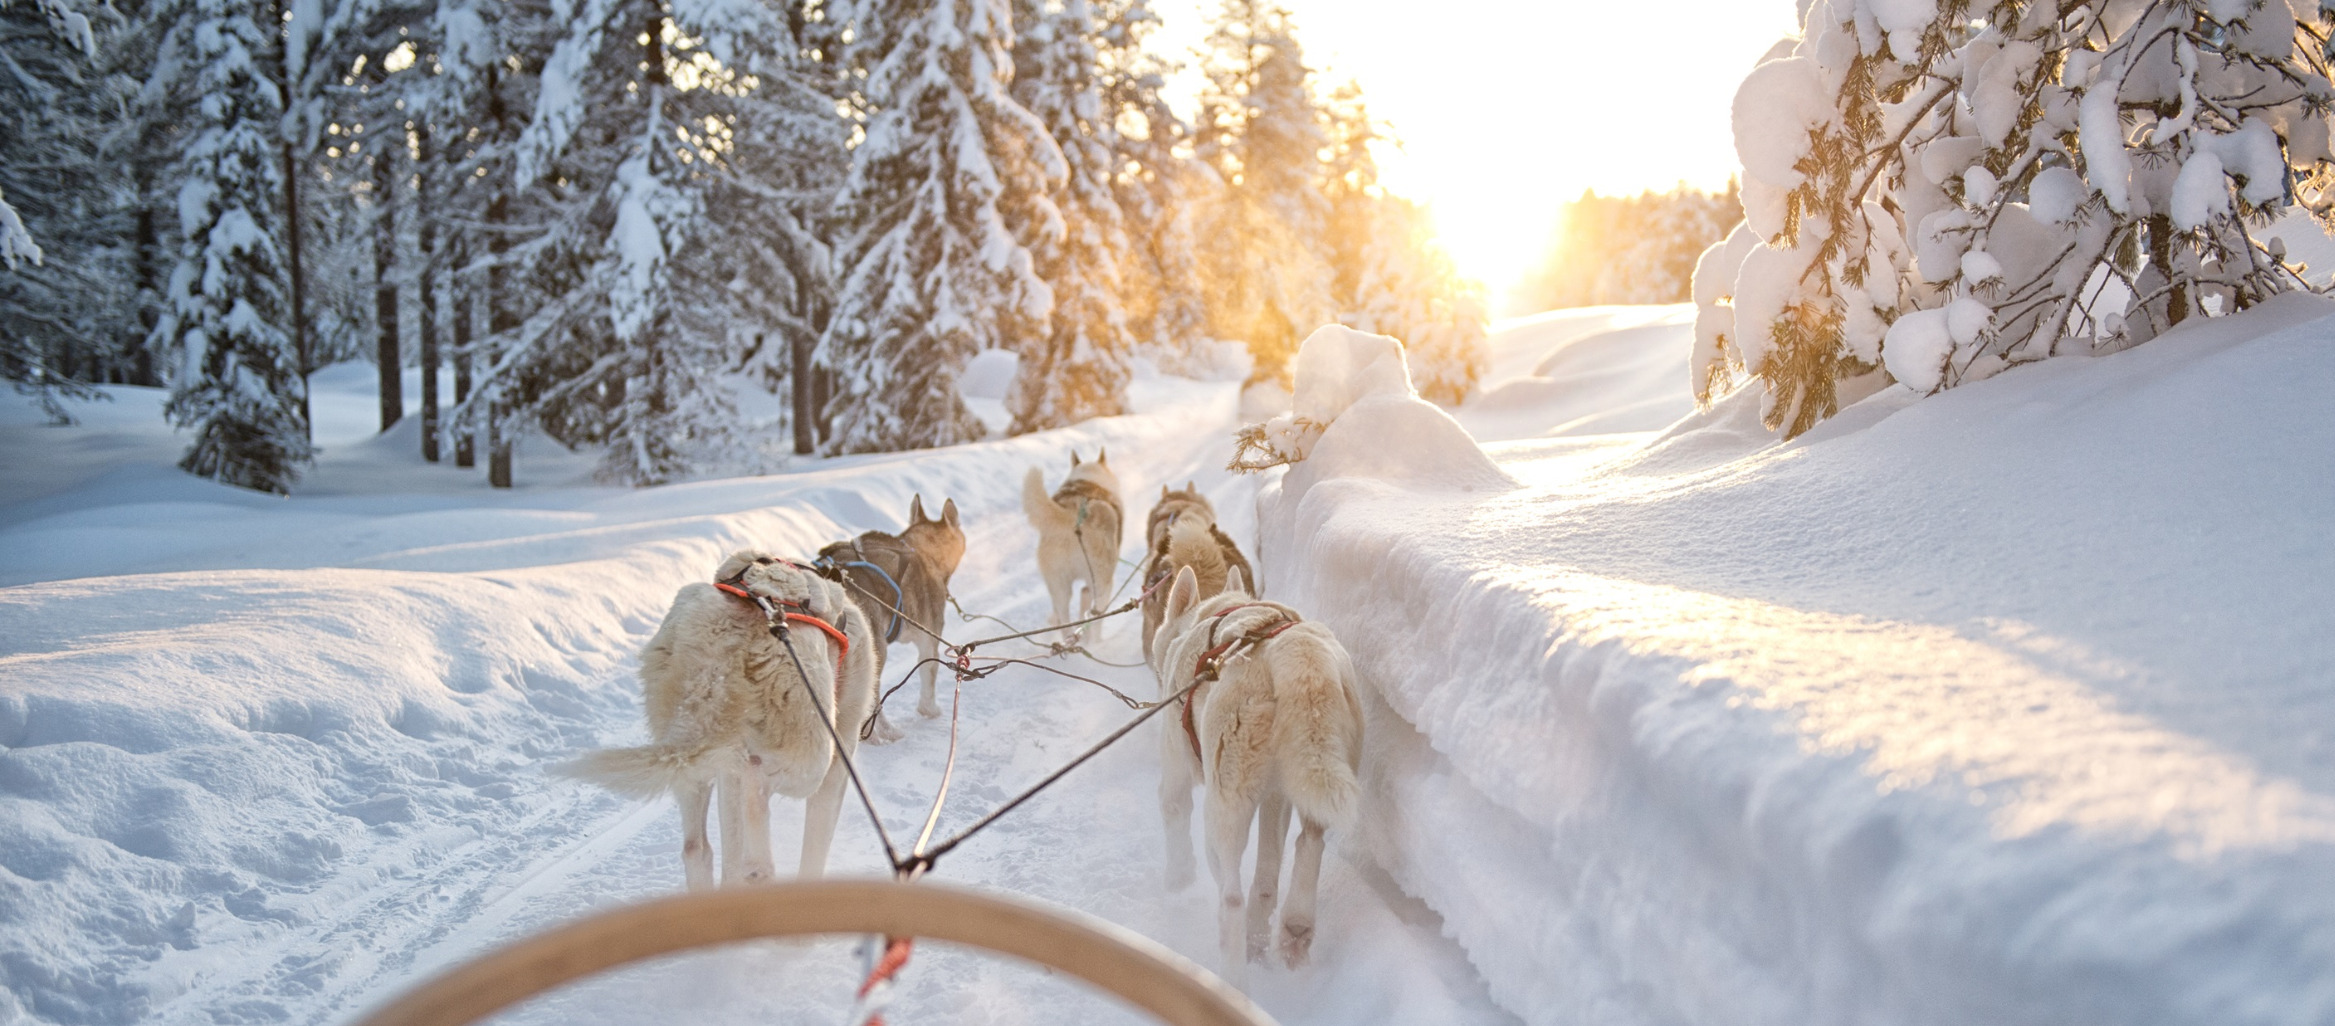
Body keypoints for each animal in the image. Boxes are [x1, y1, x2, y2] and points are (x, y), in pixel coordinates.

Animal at [574, 553, 882, 892]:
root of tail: (724, 640)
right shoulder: (839, 763)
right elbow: (813, 857)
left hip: (693, 752)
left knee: (697, 847)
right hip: (813, 750)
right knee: (757, 828)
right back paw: (757, 857)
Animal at [821, 493, 966, 733]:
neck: (922, 551)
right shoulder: (929, 637)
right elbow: (930, 671)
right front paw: (930, 710)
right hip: (876, 649)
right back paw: (887, 733)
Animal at [1153, 565, 1363, 986]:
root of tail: (1293, 652)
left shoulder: (1175, 764)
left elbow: (1174, 811)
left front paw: (1178, 881)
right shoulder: (1276, 798)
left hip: (1224, 803)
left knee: (1231, 895)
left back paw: (1233, 977)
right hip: (1315, 767)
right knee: (1298, 852)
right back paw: (1289, 931)